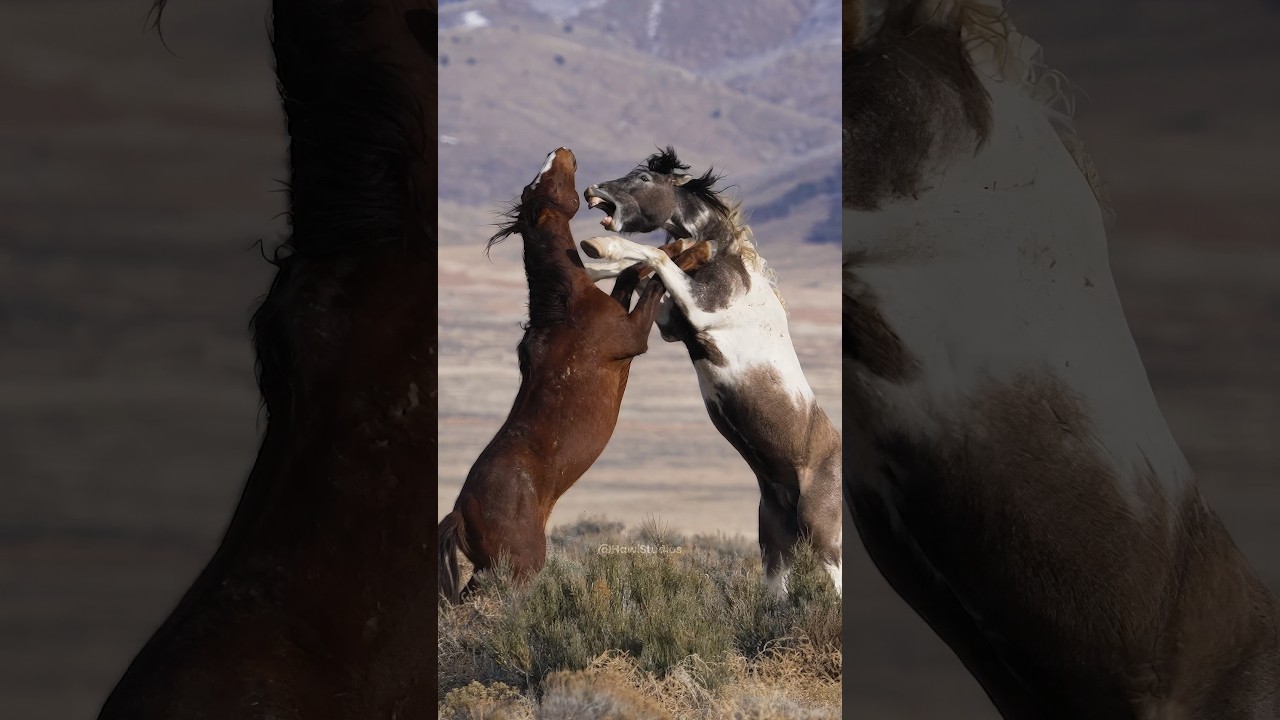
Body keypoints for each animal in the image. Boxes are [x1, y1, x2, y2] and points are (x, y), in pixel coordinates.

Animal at [437, 147, 712, 604]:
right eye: (544, 183)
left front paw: (680, 243)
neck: (565, 309)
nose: (560, 152)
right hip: (519, 569)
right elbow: (654, 280)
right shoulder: (632, 336)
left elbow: (630, 274)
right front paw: (695, 248)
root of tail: (458, 514)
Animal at [578, 147, 843, 599]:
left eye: (645, 178)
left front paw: (601, 247)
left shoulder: (699, 309)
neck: (729, 264)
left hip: (824, 536)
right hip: (776, 542)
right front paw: (596, 263)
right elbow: (646, 267)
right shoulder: (672, 323)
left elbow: (655, 257)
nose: (592, 190)